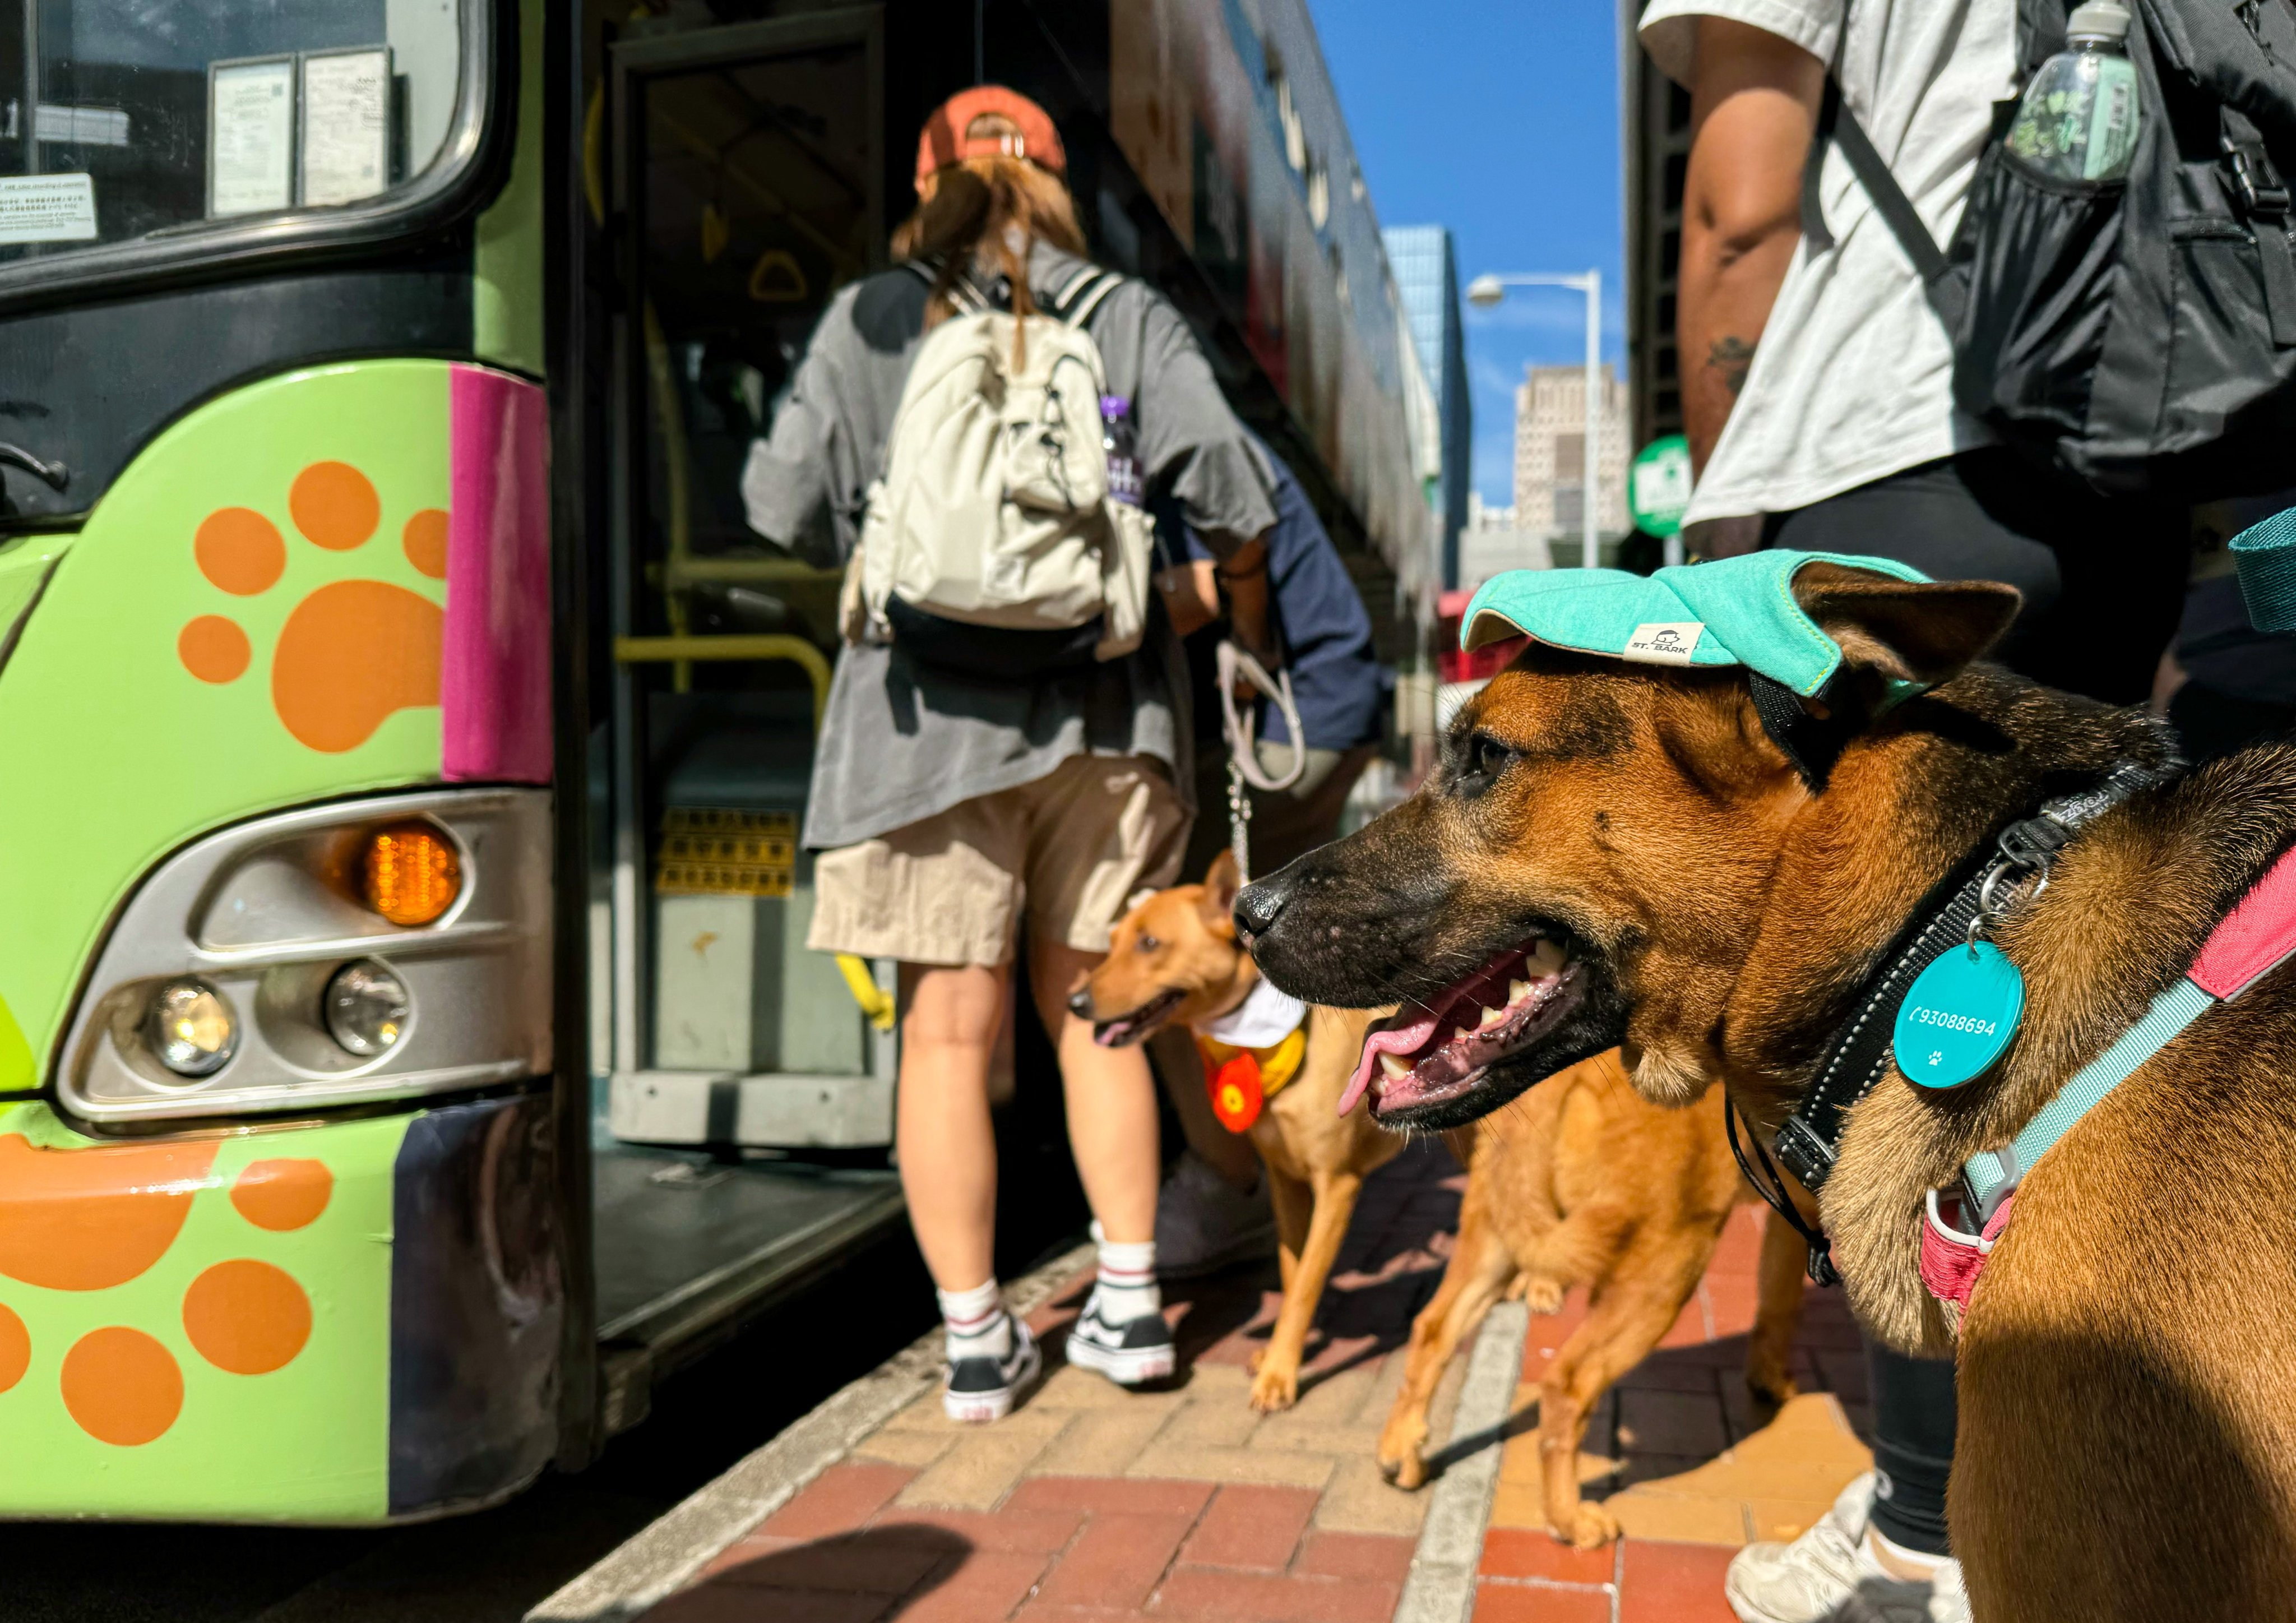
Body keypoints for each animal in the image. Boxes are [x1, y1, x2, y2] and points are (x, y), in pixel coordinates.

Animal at [1074, 858, 1396, 1414]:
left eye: (1150, 943)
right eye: (1112, 942)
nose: (1075, 1001)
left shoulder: (1338, 1185)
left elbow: (1306, 1284)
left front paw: (1280, 1374)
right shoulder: (1285, 1180)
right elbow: (1292, 1273)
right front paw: (1282, 1353)